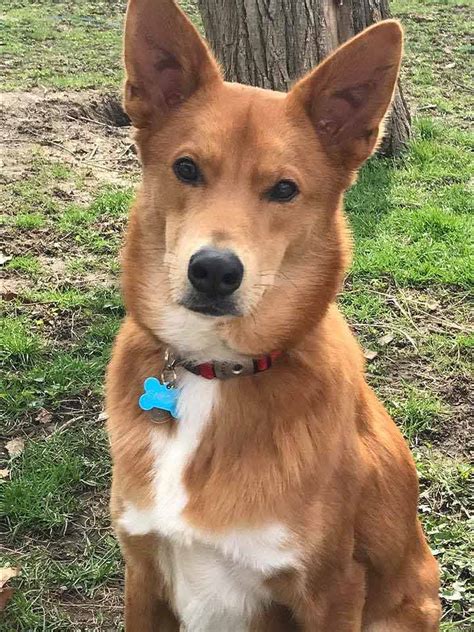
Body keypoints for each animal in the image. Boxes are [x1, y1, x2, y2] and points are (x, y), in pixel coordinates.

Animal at [106, 2, 440, 628]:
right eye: (186, 169)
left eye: (284, 189)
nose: (214, 271)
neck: (216, 372)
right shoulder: (142, 571)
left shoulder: (332, 588)